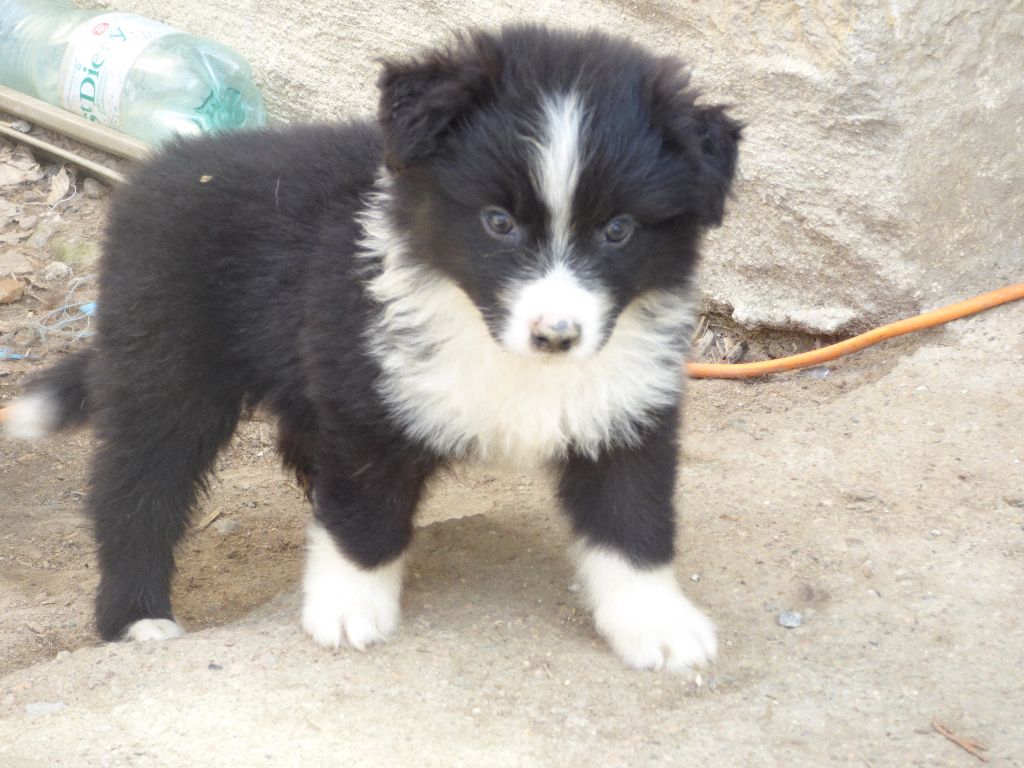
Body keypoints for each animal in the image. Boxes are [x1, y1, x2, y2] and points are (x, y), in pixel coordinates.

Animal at [3, 25, 741, 671]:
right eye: (498, 222)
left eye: (619, 230)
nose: (556, 335)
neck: (488, 335)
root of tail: (160, 166)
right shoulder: (368, 394)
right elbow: (363, 513)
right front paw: (348, 608)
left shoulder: (628, 398)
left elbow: (632, 519)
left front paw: (657, 623)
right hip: (167, 361)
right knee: (138, 486)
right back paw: (136, 618)